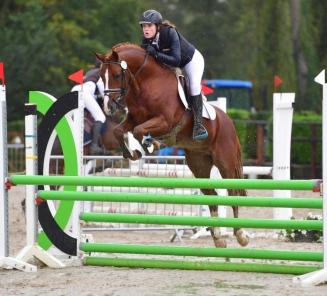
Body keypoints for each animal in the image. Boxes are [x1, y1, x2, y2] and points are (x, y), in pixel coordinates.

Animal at [96, 43, 250, 247]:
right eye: (100, 76)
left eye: (115, 75)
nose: (109, 107)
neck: (145, 83)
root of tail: (229, 121)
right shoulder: (133, 119)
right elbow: (120, 131)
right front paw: (134, 153)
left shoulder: (164, 121)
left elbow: (138, 130)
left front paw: (151, 145)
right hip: (199, 164)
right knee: (212, 194)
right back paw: (218, 239)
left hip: (226, 162)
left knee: (233, 191)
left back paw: (241, 235)